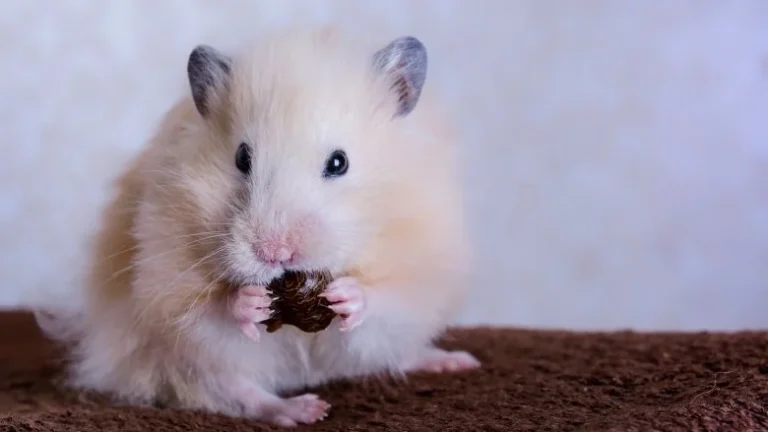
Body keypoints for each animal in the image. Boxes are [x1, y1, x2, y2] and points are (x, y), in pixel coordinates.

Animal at [41, 28, 479, 427]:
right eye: (242, 158)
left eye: (339, 162)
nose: (275, 253)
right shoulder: (169, 293)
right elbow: (211, 315)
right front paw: (249, 302)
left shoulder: (420, 276)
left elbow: (385, 303)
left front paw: (347, 295)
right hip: (173, 359)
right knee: (237, 391)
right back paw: (303, 410)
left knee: (397, 355)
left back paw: (456, 361)